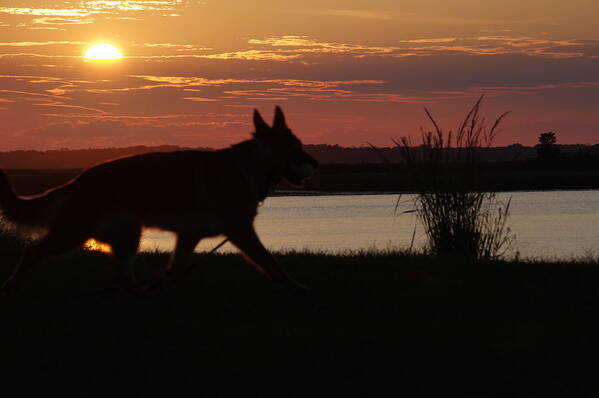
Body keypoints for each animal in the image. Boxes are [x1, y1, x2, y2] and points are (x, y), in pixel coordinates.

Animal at [1, 106, 318, 296]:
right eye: (297, 147)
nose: (316, 165)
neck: (247, 167)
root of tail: (78, 179)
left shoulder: (189, 236)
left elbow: (175, 269)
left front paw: (163, 290)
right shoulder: (241, 232)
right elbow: (272, 263)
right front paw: (298, 288)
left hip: (127, 238)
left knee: (121, 277)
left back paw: (139, 294)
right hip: (76, 235)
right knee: (32, 251)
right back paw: (11, 287)